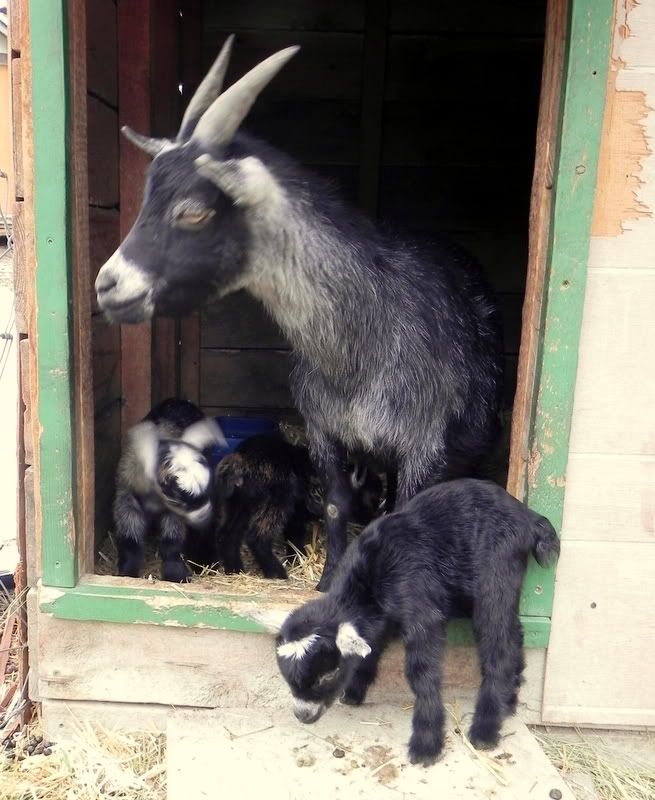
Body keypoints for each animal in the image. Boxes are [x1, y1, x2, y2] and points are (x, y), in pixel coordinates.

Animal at [114, 398, 226, 581]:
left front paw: (175, 574)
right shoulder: (127, 500)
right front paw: (127, 573)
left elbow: (171, 542)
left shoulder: (173, 515)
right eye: (181, 499)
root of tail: (181, 401)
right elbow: (130, 540)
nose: (205, 517)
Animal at [274, 479, 559, 766]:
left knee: (498, 644)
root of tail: (527, 516)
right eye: (287, 678)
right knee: (514, 634)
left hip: (496, 572)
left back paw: (484, 731)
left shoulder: (421, 610)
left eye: (328, 674)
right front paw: (354, 691)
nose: (303, 715)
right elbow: (372, 647)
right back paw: (508, 701)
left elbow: (421, 672)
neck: (368, 583)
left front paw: (426, 744)